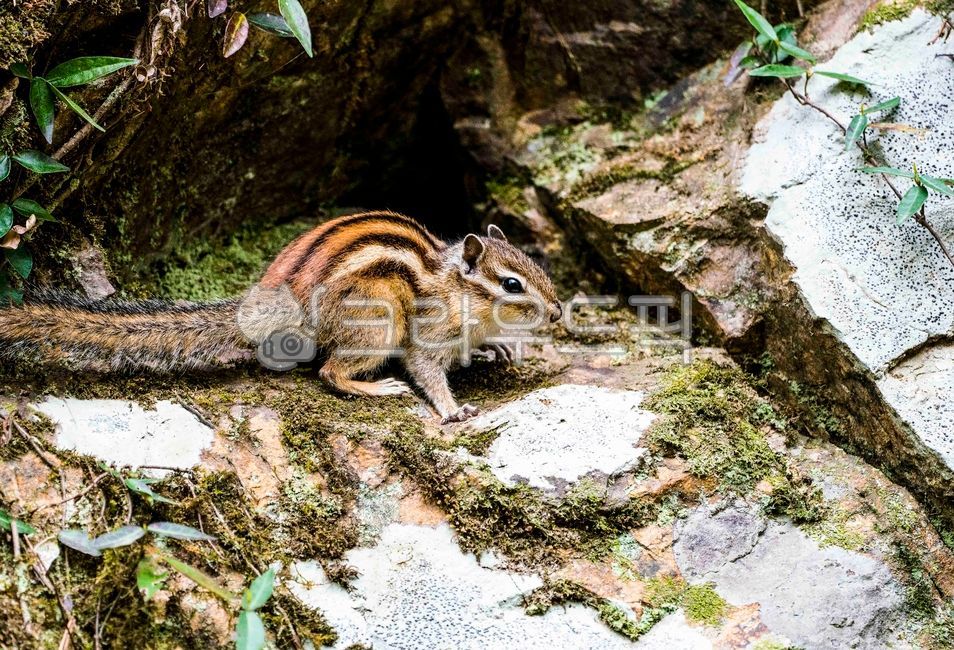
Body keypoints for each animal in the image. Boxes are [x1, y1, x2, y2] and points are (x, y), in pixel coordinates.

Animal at [0, 211, 562, 423]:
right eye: (512, 285)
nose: (558, 312)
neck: (453, 288)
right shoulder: (426, 333)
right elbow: (426, 370)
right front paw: (451, 409)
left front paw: (500, 347)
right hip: (376, 328)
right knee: (330, 371)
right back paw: (375, 388)